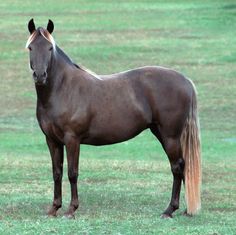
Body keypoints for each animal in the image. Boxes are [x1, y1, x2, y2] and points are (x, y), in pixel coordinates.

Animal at [25, 19, 201, 219]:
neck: (63, 89)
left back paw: (170, 210)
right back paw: (186, 209)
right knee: (183, 167)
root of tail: (185, 80)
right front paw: (54, 208)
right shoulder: (52, 140)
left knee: (177, 167)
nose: (40, 76)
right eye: (30, 47)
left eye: (49, 48)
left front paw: (71, 210)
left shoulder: (72, 140)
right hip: (162, 133)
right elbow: (57, 172)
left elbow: (72, 173)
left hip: (170, 137)